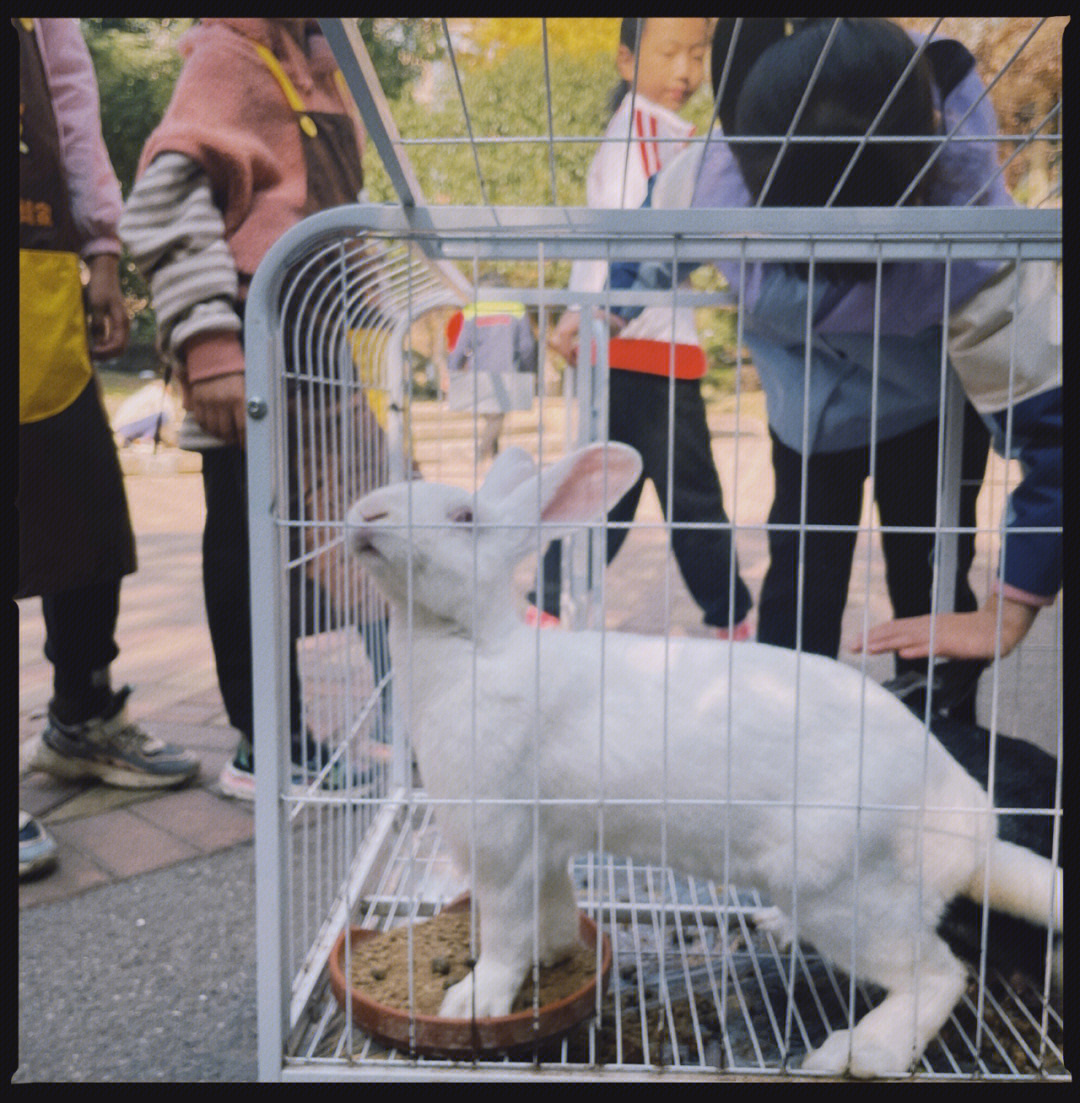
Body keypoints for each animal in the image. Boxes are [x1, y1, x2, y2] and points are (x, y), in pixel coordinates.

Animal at [346, 441, 1063, 1076]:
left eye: (464, 515)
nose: (364, 515)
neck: (474, 644)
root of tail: (972, 837)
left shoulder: (499, 842)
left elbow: (503, 931)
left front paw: (474, 1004)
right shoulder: (545, 845)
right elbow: (551, 911)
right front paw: (555, 958)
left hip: (846, 895)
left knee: (939, 974)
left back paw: (857, 1056)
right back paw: (777, 929)